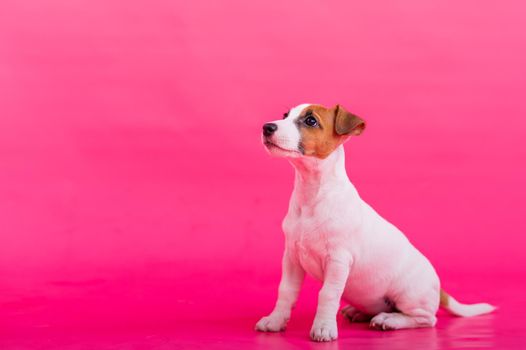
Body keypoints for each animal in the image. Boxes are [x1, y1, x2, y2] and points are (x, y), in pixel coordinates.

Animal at [256, 103, 496, 342]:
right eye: (285, 115)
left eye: (311, 121)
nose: (267, 127)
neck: (313, 195)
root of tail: (438, 287)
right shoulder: (292, 258)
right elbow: (286, 291)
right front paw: (275, 321)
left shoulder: (338, 260)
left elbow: (328, 294)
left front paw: (323, 327)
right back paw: (359, 312)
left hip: (409, 295)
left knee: (425, 319)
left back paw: (389, 320)